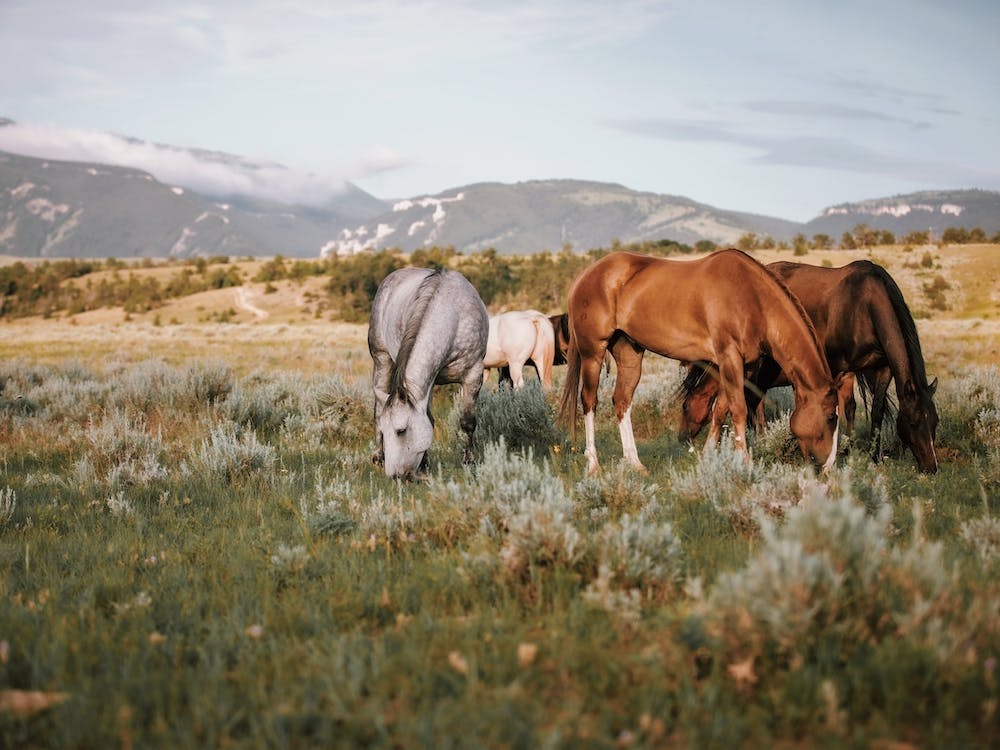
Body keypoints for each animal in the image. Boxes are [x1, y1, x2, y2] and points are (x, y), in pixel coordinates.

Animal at [368, 267, 489, 479]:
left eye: (401, 430)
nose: (395, 476)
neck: (453, 318)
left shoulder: (473, 374)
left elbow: (467, 422)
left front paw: (469, 462)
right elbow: (429, 420)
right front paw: (425, 464)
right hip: (381, 359)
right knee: (378, 408)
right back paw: (378, 456)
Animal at [558, 250, 840, 476]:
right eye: (830, 417)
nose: (828, 466)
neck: (751, 297)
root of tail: (585, 276)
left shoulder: (741, 366)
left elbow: (720, 410)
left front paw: (707, 458)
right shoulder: (729, 358)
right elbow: (738, 410)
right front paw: (745, 464)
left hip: (629, 352)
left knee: (622, 401)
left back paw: (635, 464)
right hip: (593, 352)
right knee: (589, 401)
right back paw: (594, 465)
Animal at [677, 259, 939, 472]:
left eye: (935, 422)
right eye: (914, 423)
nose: (931, 467)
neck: (862, 304)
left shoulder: (882, 368)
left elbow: (874, 411)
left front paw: (872, 456)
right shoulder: (835, 367)